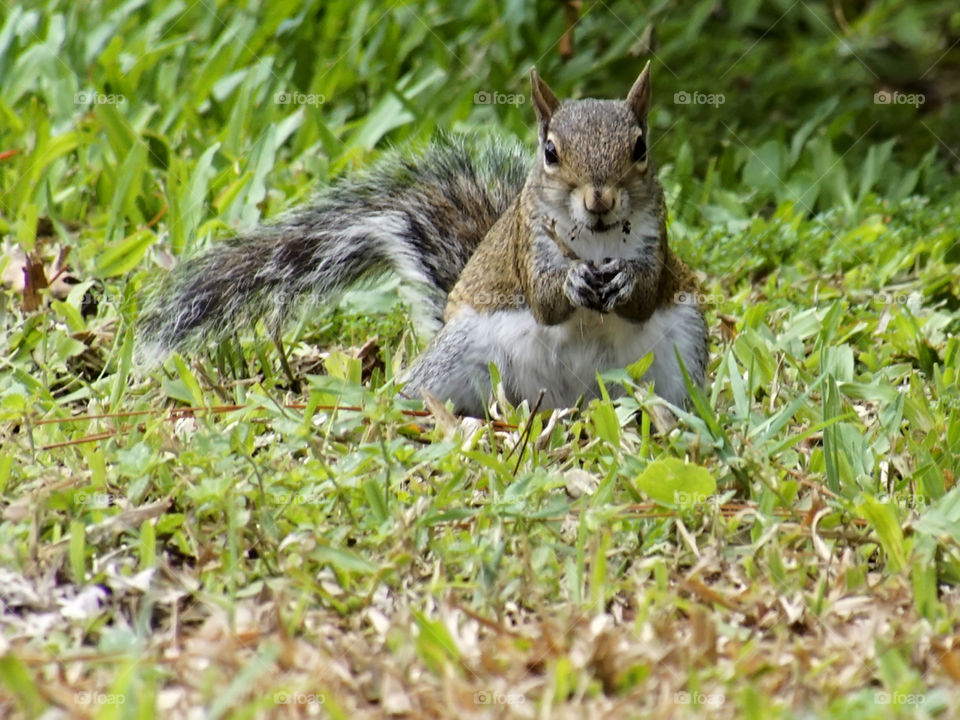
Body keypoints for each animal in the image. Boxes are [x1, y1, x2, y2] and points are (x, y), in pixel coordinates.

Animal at [139, 64, 708, 420]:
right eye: (550, 151)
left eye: (640, 147)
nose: (600, 200)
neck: (595, 240)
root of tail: (568, 403)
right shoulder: (526, 246)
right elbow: (545, 298)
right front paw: (571, 283)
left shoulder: (656, 241)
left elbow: (645, 292)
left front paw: (625, 280)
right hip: (460, 356)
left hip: (679, 354)